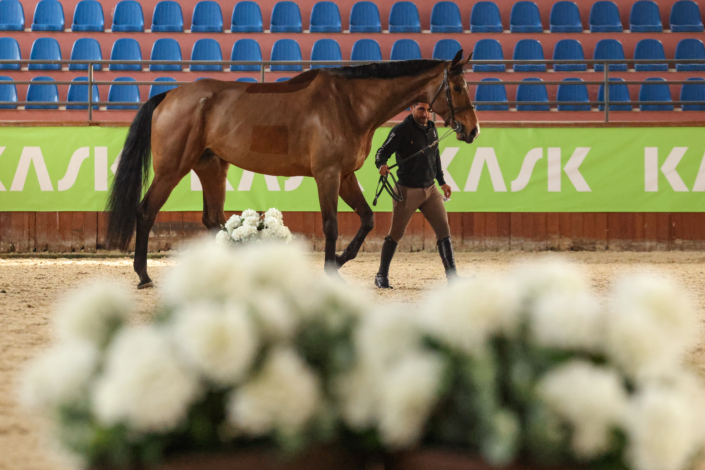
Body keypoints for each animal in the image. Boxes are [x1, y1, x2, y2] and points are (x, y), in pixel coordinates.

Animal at [105, 50, 480, 288]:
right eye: (457, 87)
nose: (472, 129)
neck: (349, 104)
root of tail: (168, 96)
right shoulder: (327, 175)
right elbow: (330, 225)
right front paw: (331, 270)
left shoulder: (345, 175)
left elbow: (368, 219)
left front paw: (340, 261)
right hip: (172, 170)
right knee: (146, 211)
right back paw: (143, 276)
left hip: (212, 167)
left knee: (213, 220)